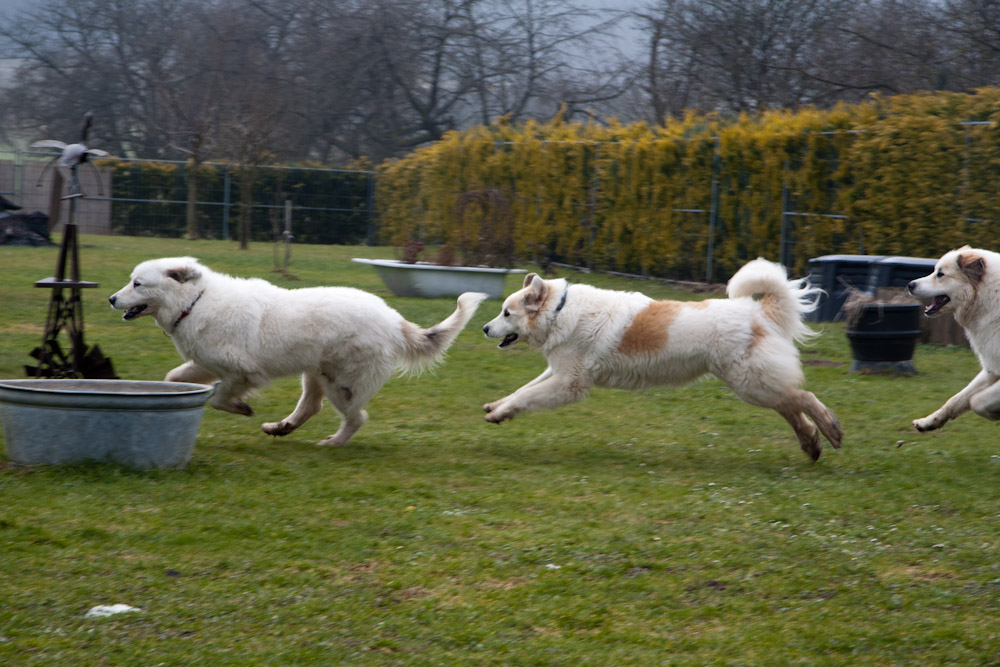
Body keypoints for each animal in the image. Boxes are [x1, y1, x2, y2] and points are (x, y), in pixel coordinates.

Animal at [111, 258, 486, 446]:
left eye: (137, 283)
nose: (112, 299)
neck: (194, 302)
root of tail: (394, 320)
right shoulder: (206, 363)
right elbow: (175, 375)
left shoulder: (242, 372)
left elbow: (218, 397)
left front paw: (241, 407)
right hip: (316, 373)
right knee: (311, 407)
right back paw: (282, 427)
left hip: (341, 384)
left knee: (356, 418)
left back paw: (332, 443)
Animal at [480, 258, 840, 462]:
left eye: (506, 313)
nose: (484, 327)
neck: (559, 311)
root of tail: (759, 311)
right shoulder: (558, 371)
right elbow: (523, 390)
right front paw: (497, 407)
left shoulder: (569, 383)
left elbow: (527, 396)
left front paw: (498, 413)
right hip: (754, 383)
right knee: (790, 405)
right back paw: (812, 444)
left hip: (750, 383)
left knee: (801, 397)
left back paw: (830, 428)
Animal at [908, 248, 1000, 430]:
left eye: (940, 274)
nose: (910, 285)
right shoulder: (991, 370)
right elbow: (956, 400)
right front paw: (928, 422)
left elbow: (976, 401)